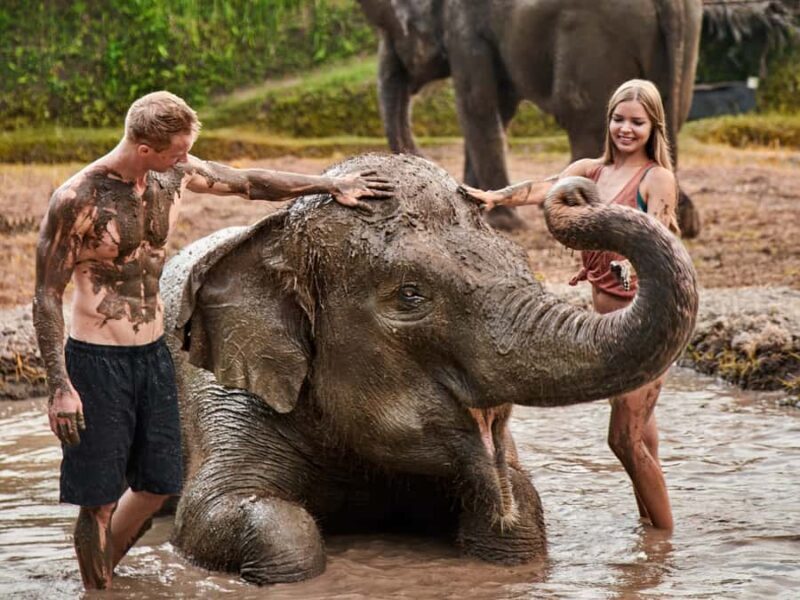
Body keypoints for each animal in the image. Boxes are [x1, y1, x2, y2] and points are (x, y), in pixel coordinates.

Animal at [160, 153, 698, 585]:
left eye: (521, 262)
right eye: (410, 295)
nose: (576, 190)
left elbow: (521, 509)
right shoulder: (222, 393)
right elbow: (216, 512)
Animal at [358, 0, 703, 236]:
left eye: (391, 28)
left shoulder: (465, 29)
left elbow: (476, 103)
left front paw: (502, 223)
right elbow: (501, 107)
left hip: (593, 39)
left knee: (579, 111)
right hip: (684, 45)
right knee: (670, 111)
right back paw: (686, 221)